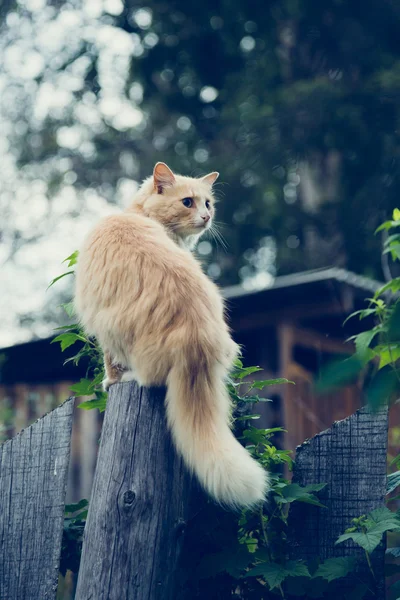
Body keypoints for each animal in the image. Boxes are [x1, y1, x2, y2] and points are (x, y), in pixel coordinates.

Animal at [75, 162, 268, 508]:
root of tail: (198, 340)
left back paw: (128, 378)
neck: (139, 215)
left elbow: (109, 364)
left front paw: (109, 381)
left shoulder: (98, 322)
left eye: (208, 203)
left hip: (113, 327)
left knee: (146, 376)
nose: (206, 217)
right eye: (188, 202)